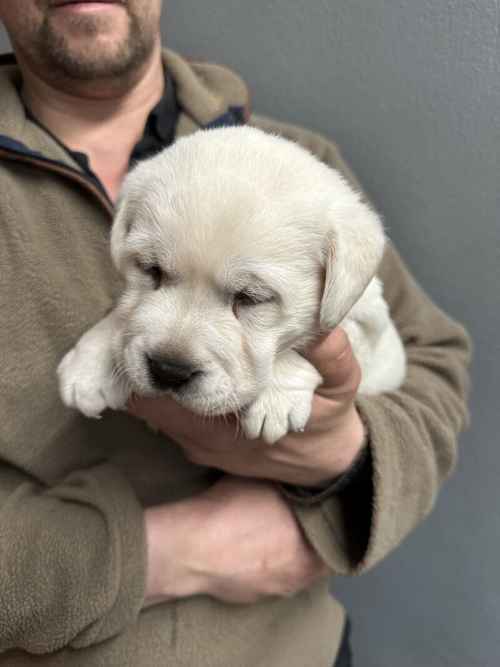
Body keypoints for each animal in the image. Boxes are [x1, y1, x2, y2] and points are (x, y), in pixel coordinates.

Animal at [56, 128, 404, 446]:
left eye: (250, 298)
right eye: (152, 270)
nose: (169, 370)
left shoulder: (368, 321)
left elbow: (306, 343)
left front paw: (276, 396)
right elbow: (123, 314)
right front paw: (90, 365)